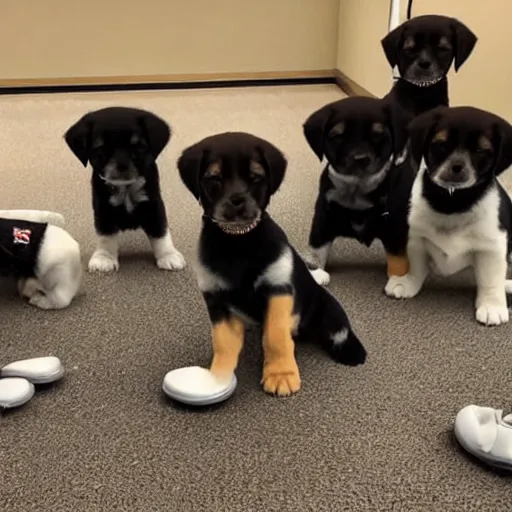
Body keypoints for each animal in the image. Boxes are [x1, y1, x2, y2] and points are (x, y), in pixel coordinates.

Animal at [63, 107, 184, 272]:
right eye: (101, 148)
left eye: (138, 147)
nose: (122, 166)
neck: (125, 187)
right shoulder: (103, 208)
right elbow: (106, 234)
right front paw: (104, 258)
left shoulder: (153, 204)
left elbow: (160, 231)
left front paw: (168, 255)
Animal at [178, 131, 366, 396]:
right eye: (214, 178)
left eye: (256, 177)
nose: (237, 200)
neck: (238, 242)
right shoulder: (217, 301)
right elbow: (223, 343)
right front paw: (217, 378)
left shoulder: (278, 289)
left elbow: (275, 336)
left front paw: (280, 374)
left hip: (329, 312)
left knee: (339, 333)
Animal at [304, 95, 416, 286]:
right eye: (337, 136)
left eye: (378, 135)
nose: (361, 159)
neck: (356, 191)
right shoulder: (323, 219)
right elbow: (316, 253)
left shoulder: (395, 226)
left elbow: (398, 260)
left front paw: (399, 282)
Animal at [386, 106, 512, 326]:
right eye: (441, 145)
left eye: (481, 150)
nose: (457, 166)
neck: (453, 202)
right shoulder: (417, 239)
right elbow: (417, 267)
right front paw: (408, 283)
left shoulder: (492, 247)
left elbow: (490, 280)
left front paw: (492, 305)